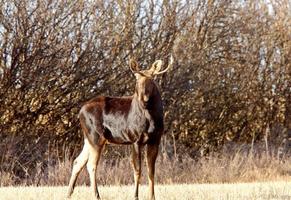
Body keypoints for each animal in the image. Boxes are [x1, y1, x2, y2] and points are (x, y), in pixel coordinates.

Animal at [66, 55, 173, 200]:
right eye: (136, 78)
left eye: (152, 79)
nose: (143, 98)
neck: (151, 118)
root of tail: (80, 112)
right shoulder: (135, 139)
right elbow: (137, 170)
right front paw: (135, 196)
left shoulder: (155, 140)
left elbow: (151, 171)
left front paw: (152, 197)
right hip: (96, 137)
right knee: (91, 165)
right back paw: (96, 195)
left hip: (88, 139)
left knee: (78, 161)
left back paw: (68, 194)